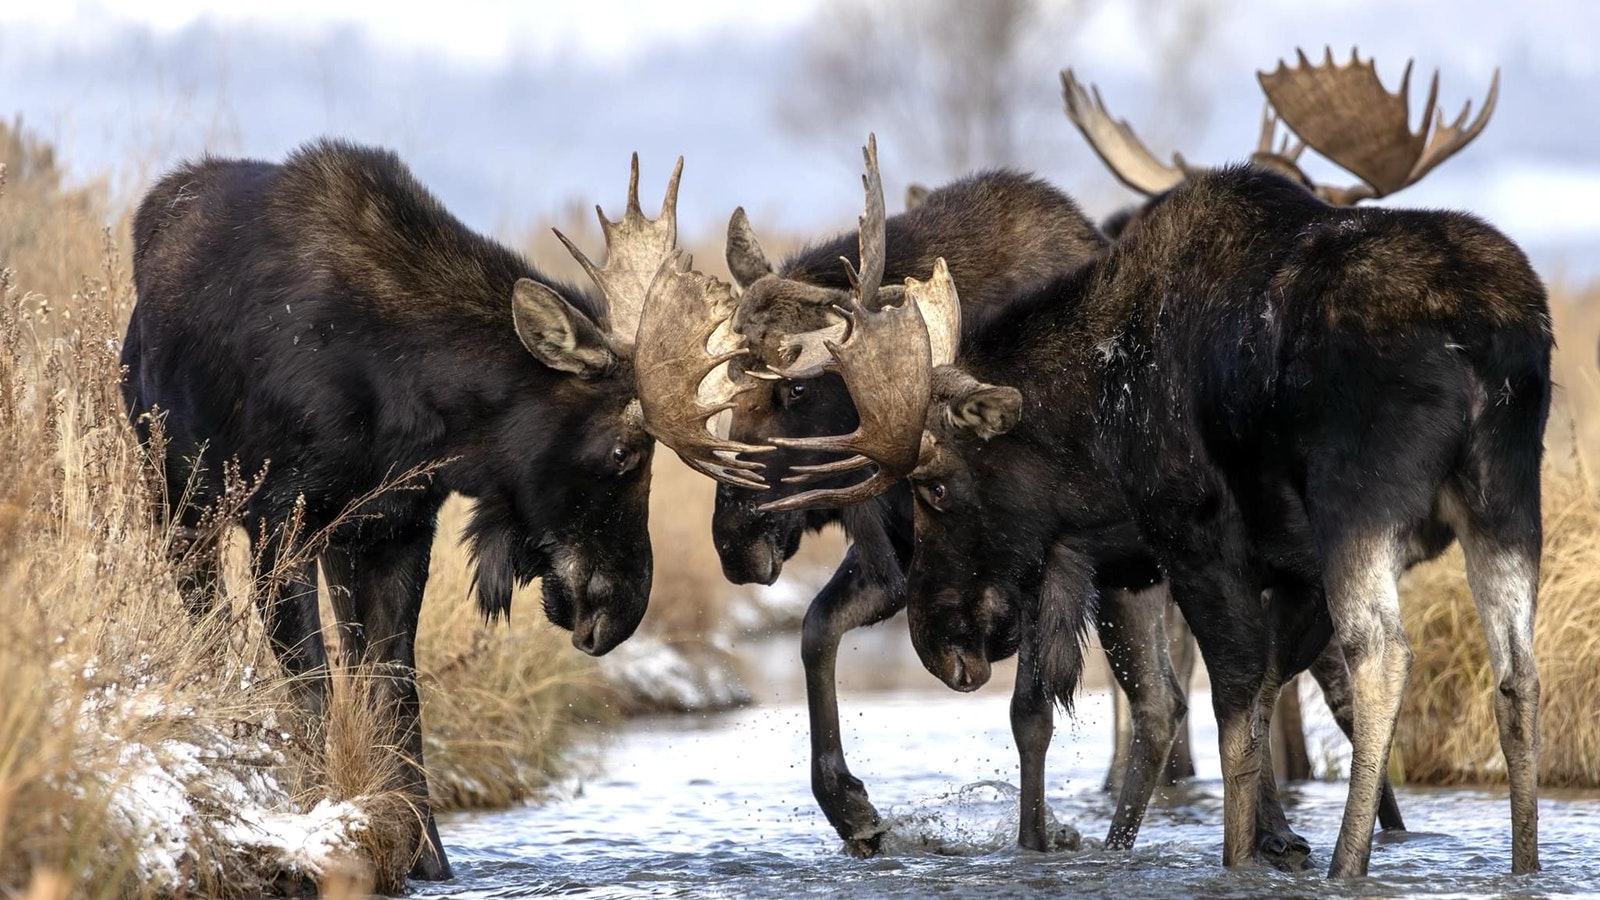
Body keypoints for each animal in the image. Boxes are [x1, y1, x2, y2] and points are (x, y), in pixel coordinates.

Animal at [124, 140, 726, 877]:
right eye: (623, 451)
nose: (622, 610)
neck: (415, 400)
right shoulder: (279, 518)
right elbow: (312, 684)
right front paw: (318, 818)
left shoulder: (398, 527)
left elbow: (395, 690)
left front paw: (426, 855)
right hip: (178, 499)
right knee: (208, 623)